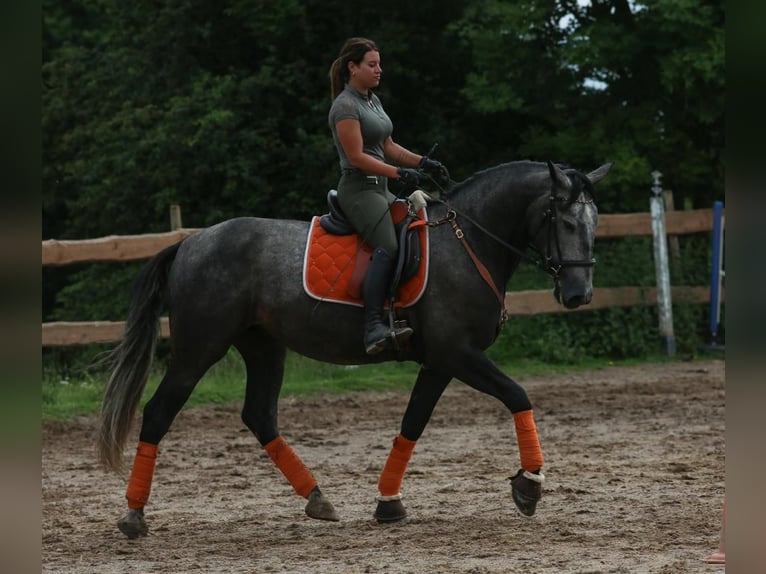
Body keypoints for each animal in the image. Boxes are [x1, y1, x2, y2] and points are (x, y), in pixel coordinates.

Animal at [97, 159, 612, 540]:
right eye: (567, 221)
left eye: (594, 222)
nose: (579, 294)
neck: (468, 243)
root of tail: (190, 243)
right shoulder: (458, 354)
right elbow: (518, 395)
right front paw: (529, 486)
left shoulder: (440, 362)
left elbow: (413, 423)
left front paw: (389, 503)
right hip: (199, 348)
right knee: (158, 413)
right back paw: (134, 515)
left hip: (264, 347)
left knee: (259, 415)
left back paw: (318, 499)